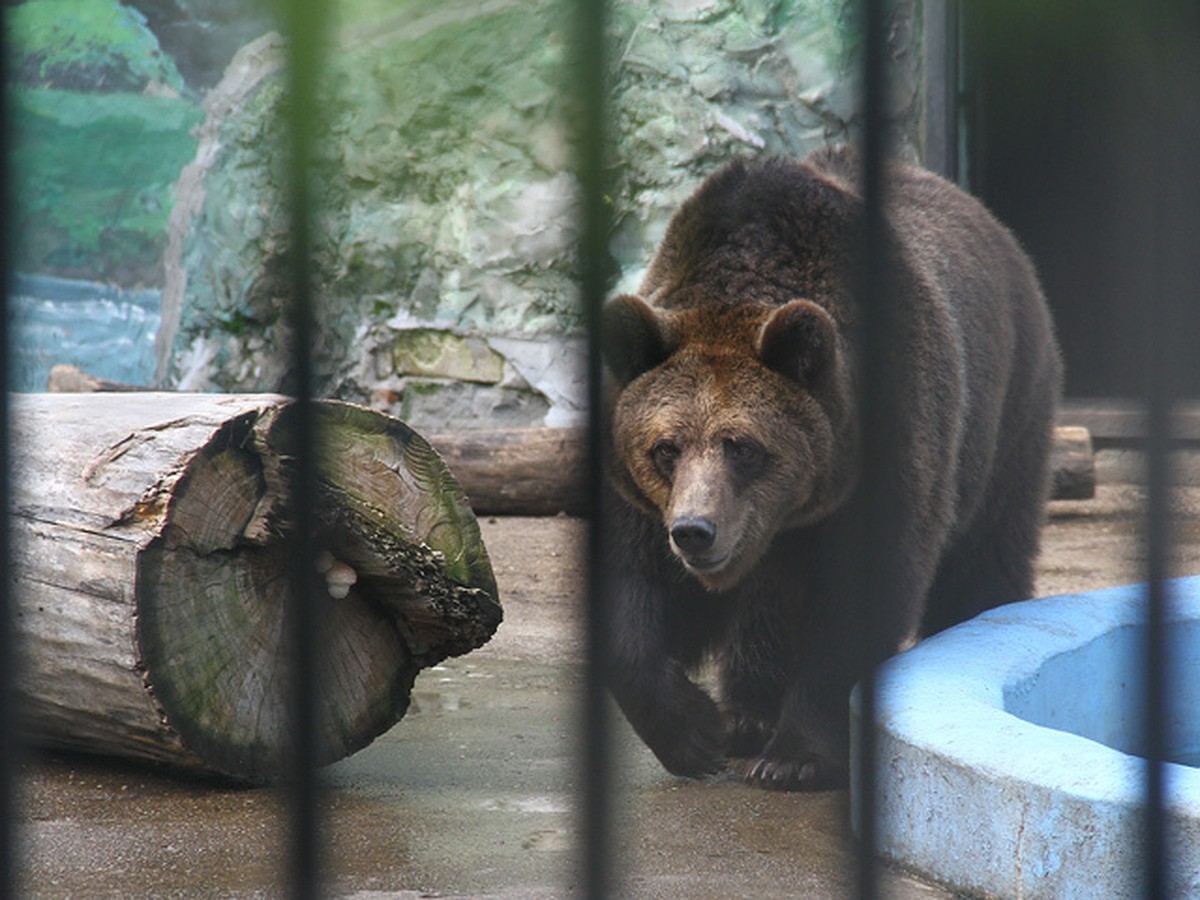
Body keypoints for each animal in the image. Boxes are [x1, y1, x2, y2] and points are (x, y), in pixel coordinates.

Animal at [600, 148, 1060, 787]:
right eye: (665, 448)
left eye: (744, 446)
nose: (696, 532)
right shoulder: (647, 500)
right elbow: (637, 591)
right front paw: (696, 732)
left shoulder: (888, 440)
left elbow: (859, 596)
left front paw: (795, 757)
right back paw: (746, 716)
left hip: (1008, 417)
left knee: (985, 552)